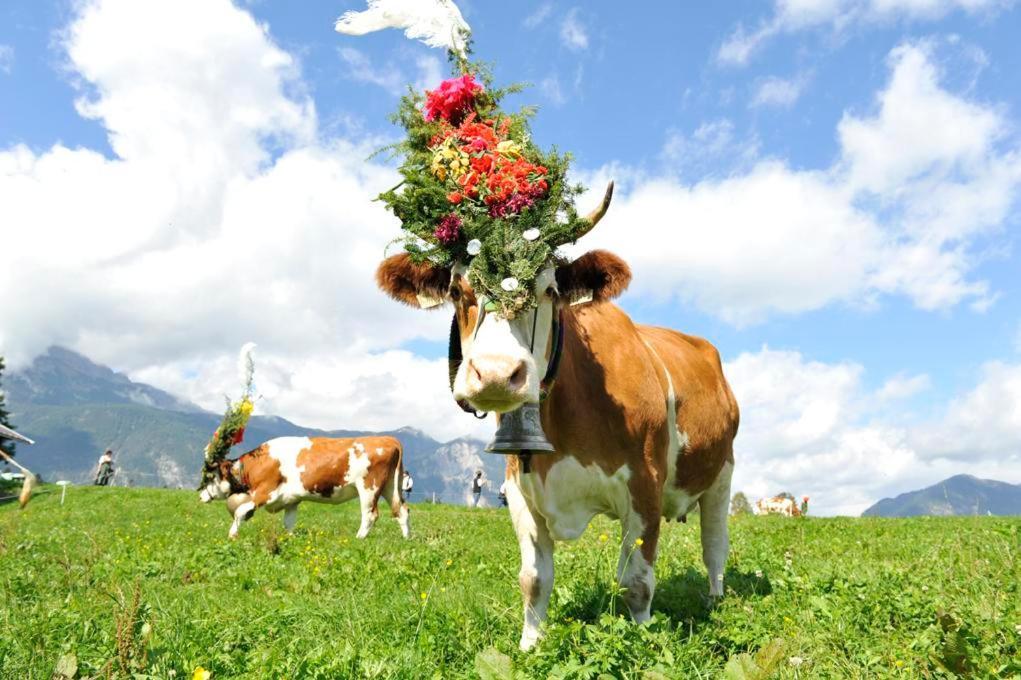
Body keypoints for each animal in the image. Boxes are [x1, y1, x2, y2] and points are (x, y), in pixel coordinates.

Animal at [197, 434, 408, 539]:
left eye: (209, 477)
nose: (200, 496)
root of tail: (388, 438)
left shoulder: (265, 492)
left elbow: (240, 511)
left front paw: (232, 534)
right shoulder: (291, 499)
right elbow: (289, 522)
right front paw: (290, 539)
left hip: (369, 486)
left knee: (370, 514)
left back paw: (358, 539)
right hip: (391, 486)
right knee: (402, 510)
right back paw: (407, 539)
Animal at [371, 182, 739, 649]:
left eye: (547, 290)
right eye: (457, 291)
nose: (496, 374)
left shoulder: (645, 486)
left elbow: (636, 581)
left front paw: (642, 637)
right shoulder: (520, 491)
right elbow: (533, 580)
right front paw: (530, 644)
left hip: (722, 473)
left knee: (715, 544)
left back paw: (715, 597)